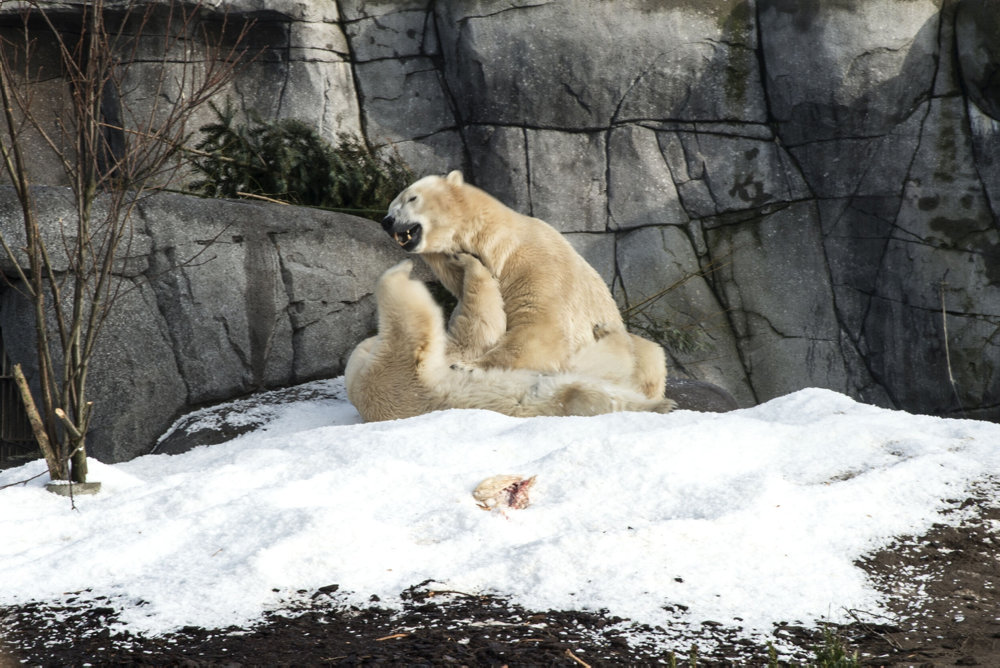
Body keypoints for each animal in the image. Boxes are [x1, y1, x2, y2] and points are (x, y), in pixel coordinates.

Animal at [382, 170, 672, 400]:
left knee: (646, 352)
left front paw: (468, 366)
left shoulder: (536, 267)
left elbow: (542, 330)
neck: (497, 245)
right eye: (393, 203)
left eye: (411, 198)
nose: (386, 221)